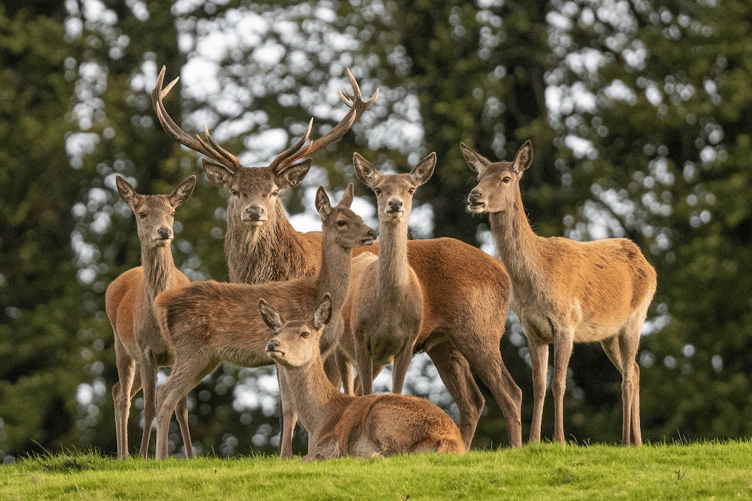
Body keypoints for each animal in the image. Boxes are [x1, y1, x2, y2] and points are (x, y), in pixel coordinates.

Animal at [104, 175, 197, 458]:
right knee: (123, 395)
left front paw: (191, 457)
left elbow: (181, 408)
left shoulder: (182, 351)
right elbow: (150, 408)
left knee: (117, 390)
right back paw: (124, 454)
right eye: (142, 213)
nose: (164, 232)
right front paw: (146, 455)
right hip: (121, 343)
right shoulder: (146, 350)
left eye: (172, 212)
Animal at [152, 185, 377, 459]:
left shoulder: (319, 352)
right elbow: (290, 406)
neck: (317, 293)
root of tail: (162, 304)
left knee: (173, 397)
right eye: (342, 222)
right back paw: (159, 456)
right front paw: (286, 455)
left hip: (205, 357)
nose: (371, 232)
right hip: (191, 348)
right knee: (165, 394)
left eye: (359, 216)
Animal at [261, 293, 465, 460]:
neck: (320, 422)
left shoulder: (330, 444)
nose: (272, 344)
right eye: (277, 332)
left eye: (305, 333)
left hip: (381, 417)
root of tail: (453, 440)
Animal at [340, 152, 435, 396]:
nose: (394, 203)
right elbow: (367, 393)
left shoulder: (407, 343)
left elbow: (395, 392)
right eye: (378, 189)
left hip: (379, 360)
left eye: (411, 189)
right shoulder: (360, 336)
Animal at [462, 140, 657, 446]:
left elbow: (559, 382)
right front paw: (532, 441)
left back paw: (626, 441)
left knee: (627, 377)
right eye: (479, 177)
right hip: (608, 334)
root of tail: (646, 263)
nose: (474, 196)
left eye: (506, 178)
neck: (538, 276)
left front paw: (560, 439)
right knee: (635, 370)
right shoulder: (532, 329)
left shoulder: (566, 322)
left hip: (636, 316)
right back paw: (637, 441)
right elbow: (538, 384)